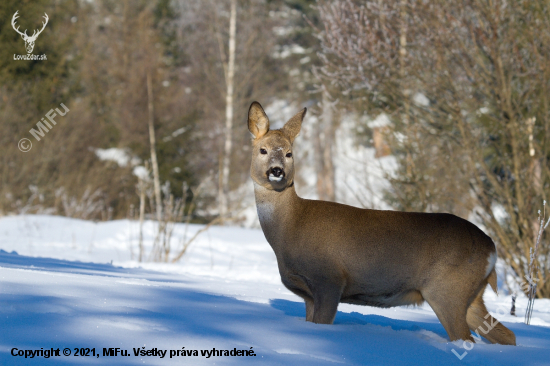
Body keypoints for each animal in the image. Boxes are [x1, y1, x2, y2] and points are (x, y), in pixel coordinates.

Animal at [249, 101, 516, 344]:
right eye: (262, 150)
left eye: (289, 153)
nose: (277, 171)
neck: (290, 227)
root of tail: (491, 248)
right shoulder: (309, 295)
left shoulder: (329, 280)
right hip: (471, 296)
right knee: (507, 335)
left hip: (447, 290)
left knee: (466, 338)